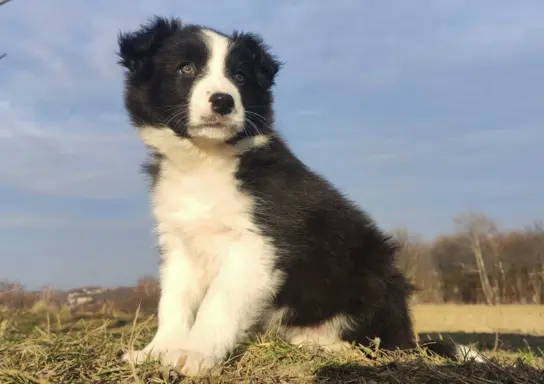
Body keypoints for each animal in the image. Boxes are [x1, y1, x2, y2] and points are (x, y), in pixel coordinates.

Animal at [117, 16, 482, 376]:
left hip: (374, 272)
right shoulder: (178, 242)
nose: (223, 100)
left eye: (239, 76)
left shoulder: (259, 243)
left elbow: (218, 302)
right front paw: (156, 351)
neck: (205, 161)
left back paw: (330, 347)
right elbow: (173, 303)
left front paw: (193, 354)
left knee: (379, 342)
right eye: (186, 68)